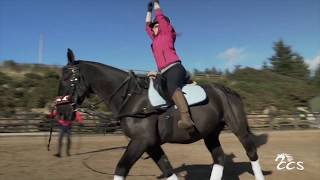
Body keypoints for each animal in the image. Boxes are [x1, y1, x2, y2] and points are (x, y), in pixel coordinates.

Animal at [56, 48, 264, 179]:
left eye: (67, 78)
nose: (62, 112)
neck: (131, 98)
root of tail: (226, 90)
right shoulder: (151, 144)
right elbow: (168, 170)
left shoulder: (141, 141)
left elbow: (121, 168)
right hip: (210, 133)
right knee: (219, 158)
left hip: (238, 129)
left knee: (251, 153)